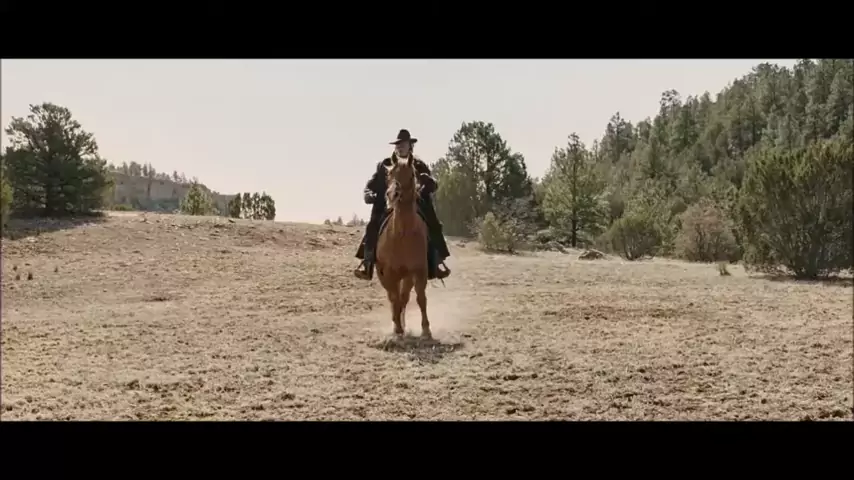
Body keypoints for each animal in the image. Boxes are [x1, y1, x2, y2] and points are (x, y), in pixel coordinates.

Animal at [375, 154, 431, 339]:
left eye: (412, 174)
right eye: (389, 174)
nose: (392, 194)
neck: (402, 233)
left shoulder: (419, 271)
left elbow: (420, 298)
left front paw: (426, 329)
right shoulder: (388, 274)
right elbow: (394, 299)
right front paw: (397, 328)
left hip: (407, 277)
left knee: (404, 297)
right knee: (395, 298)